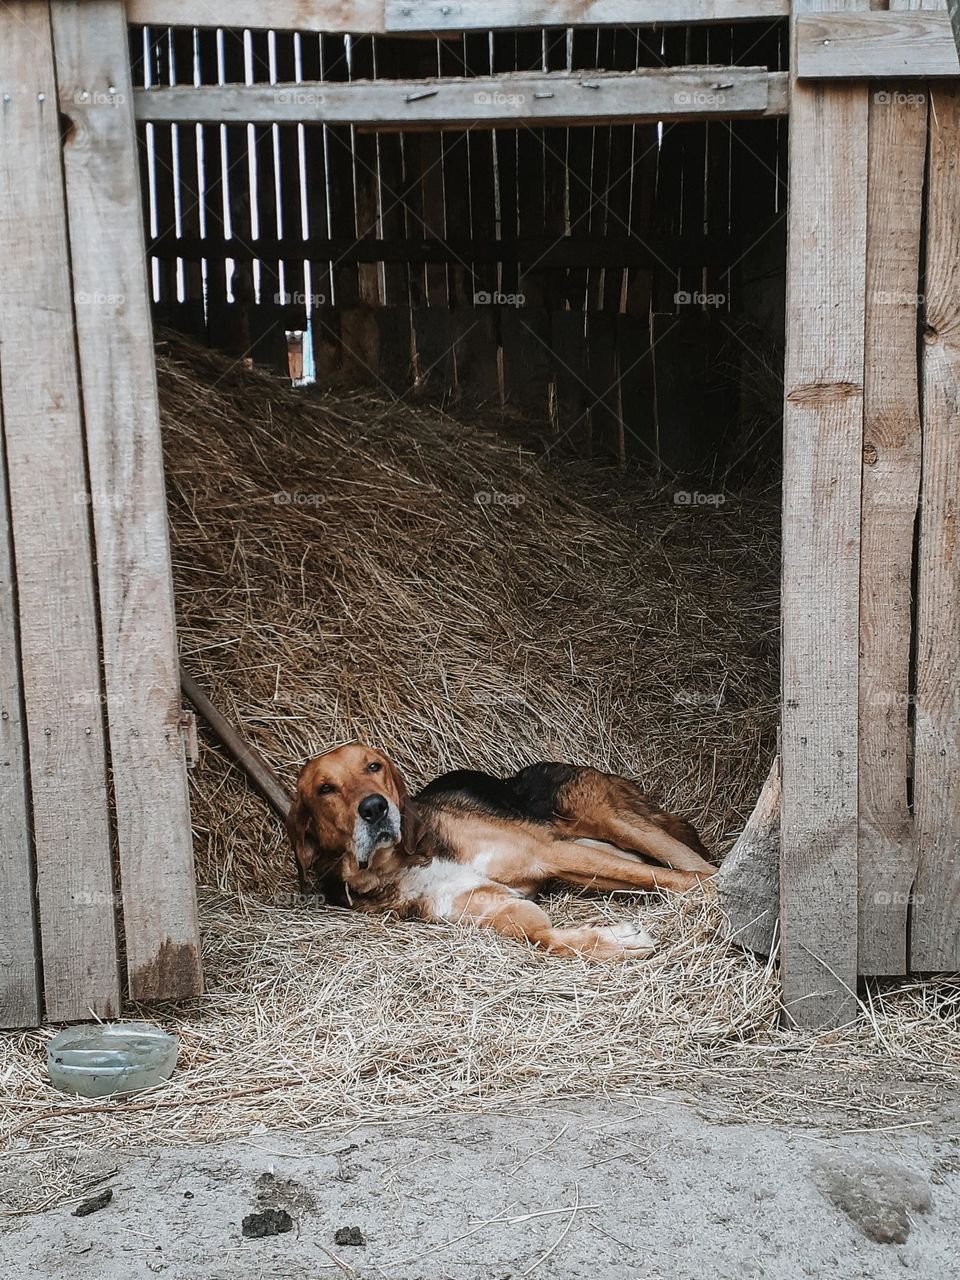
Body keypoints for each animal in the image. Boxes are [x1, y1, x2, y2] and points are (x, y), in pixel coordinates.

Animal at [289, 742, 716, 962]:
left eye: (374, 766)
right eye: (325, 789)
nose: (375, 809)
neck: (398, 863)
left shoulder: (548, 853)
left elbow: (674, 878)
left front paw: (711, 894)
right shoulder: (502, 905)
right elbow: (543, 936)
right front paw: (614, 941)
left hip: (616, 822)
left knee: (686, 863)